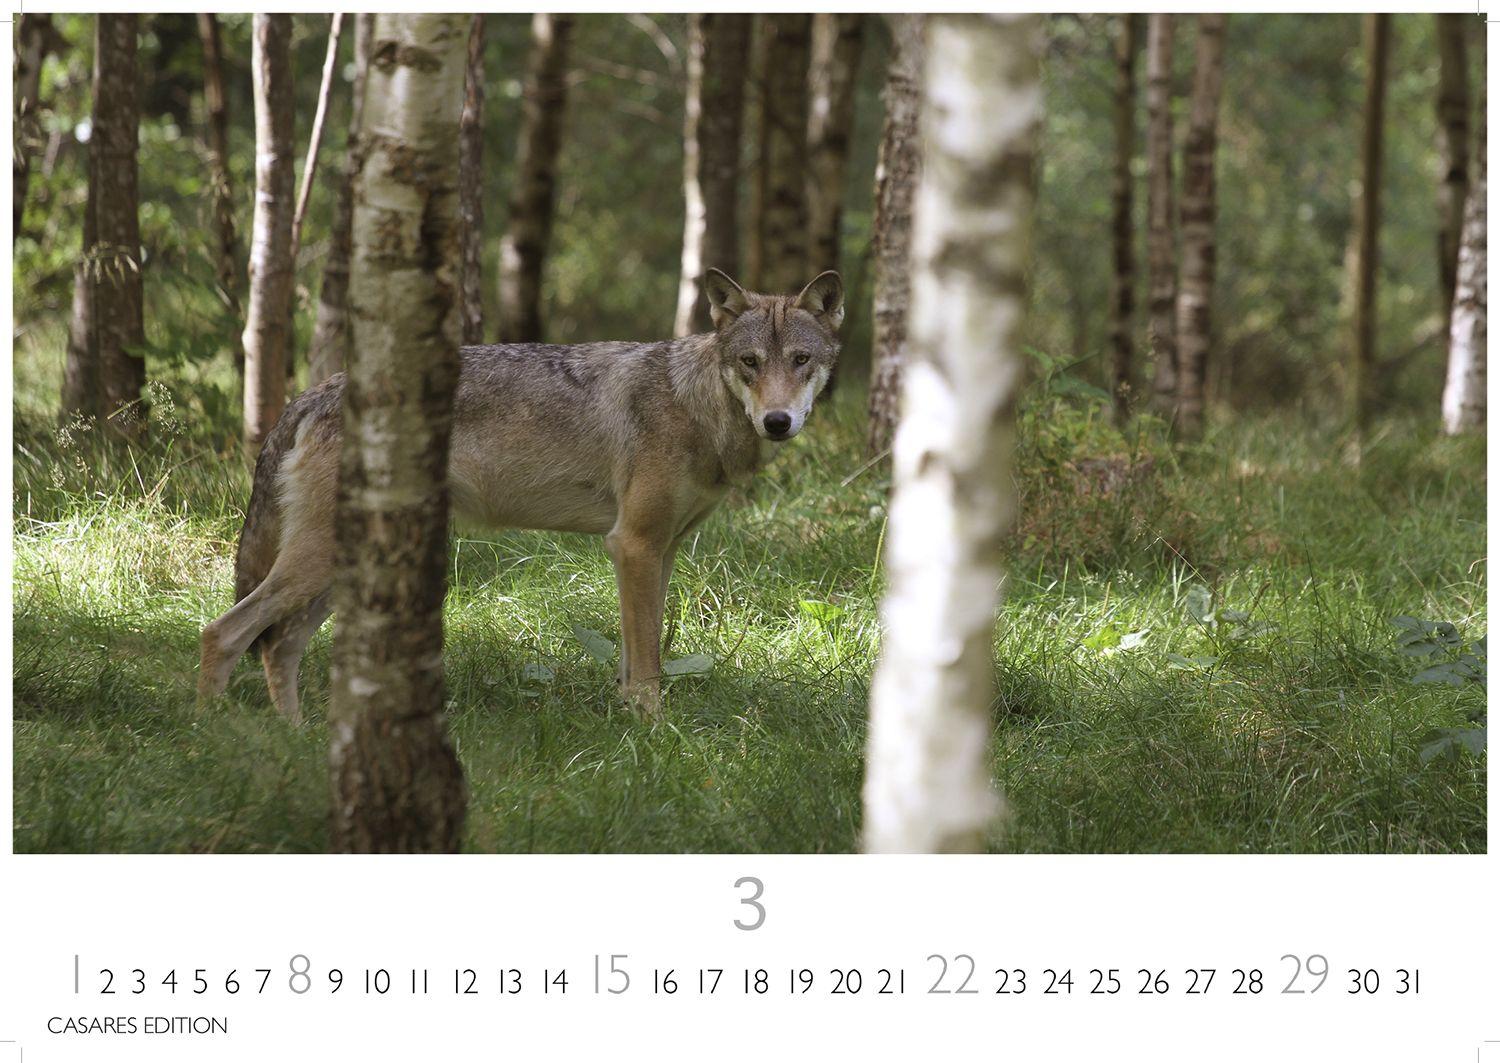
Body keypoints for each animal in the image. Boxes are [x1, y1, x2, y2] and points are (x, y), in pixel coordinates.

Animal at [197, 269, 844, 722]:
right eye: (750, 362)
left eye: (801, 361)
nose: (778, 422)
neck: (696, 406)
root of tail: (315, 392)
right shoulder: (633, 545)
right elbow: (646, 666)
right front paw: (654, 734)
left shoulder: (660, 553)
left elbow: (638, 656)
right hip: (317, 564)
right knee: (222, 633)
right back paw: (213, 733)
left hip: (340, 571)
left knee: (278, 648)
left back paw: (297, 740)